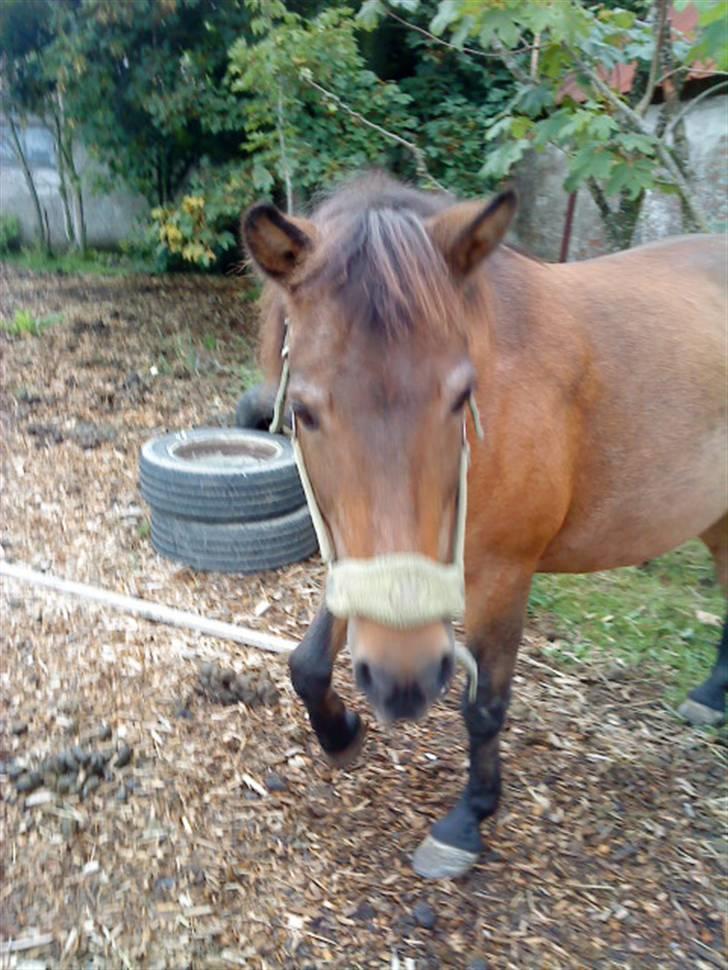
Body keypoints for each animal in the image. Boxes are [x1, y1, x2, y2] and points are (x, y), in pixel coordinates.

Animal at [243, 172, 724, 876]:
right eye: (303, 411)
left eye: (462, 398)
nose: (403, 680)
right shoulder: (358, 560)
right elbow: (306, 663)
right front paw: (341, 734)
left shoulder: (504, 574)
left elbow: (485, 706)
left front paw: (468, 821)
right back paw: (713, 695)